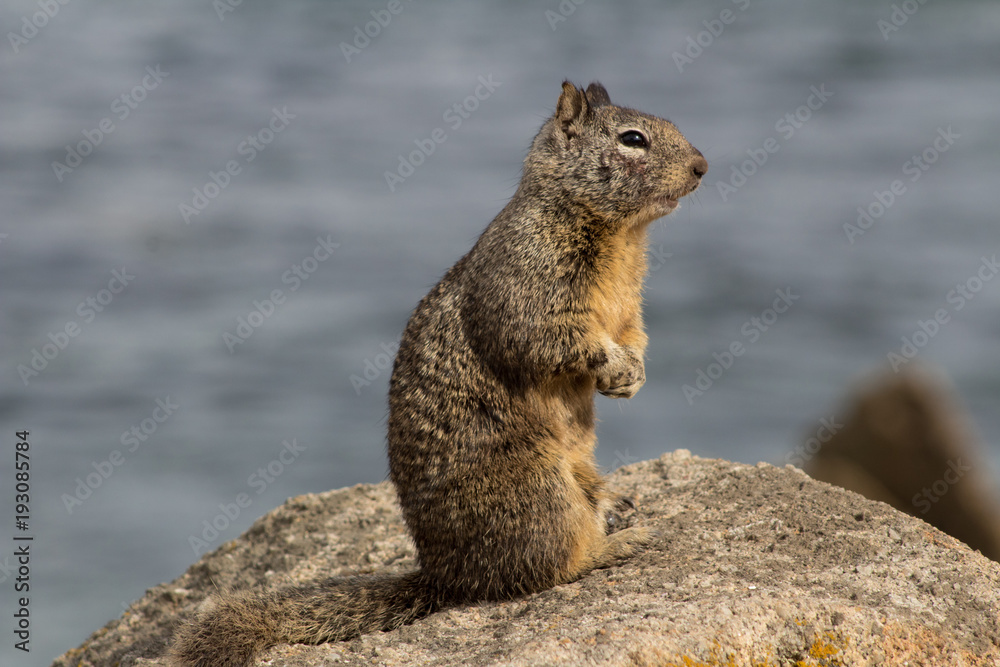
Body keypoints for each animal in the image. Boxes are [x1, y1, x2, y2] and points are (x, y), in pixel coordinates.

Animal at [170, 81, 706, 667]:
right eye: (633, 139)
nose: (702, 166)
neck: (621, 237)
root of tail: (447, 577)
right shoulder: (531, 286)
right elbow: (548, 340)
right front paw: (611, 365)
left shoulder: (629, 308)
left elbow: (634, 337)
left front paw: (632, 374)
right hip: (536, 490)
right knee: (550, 566)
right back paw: (617, 544)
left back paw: (617, 505)